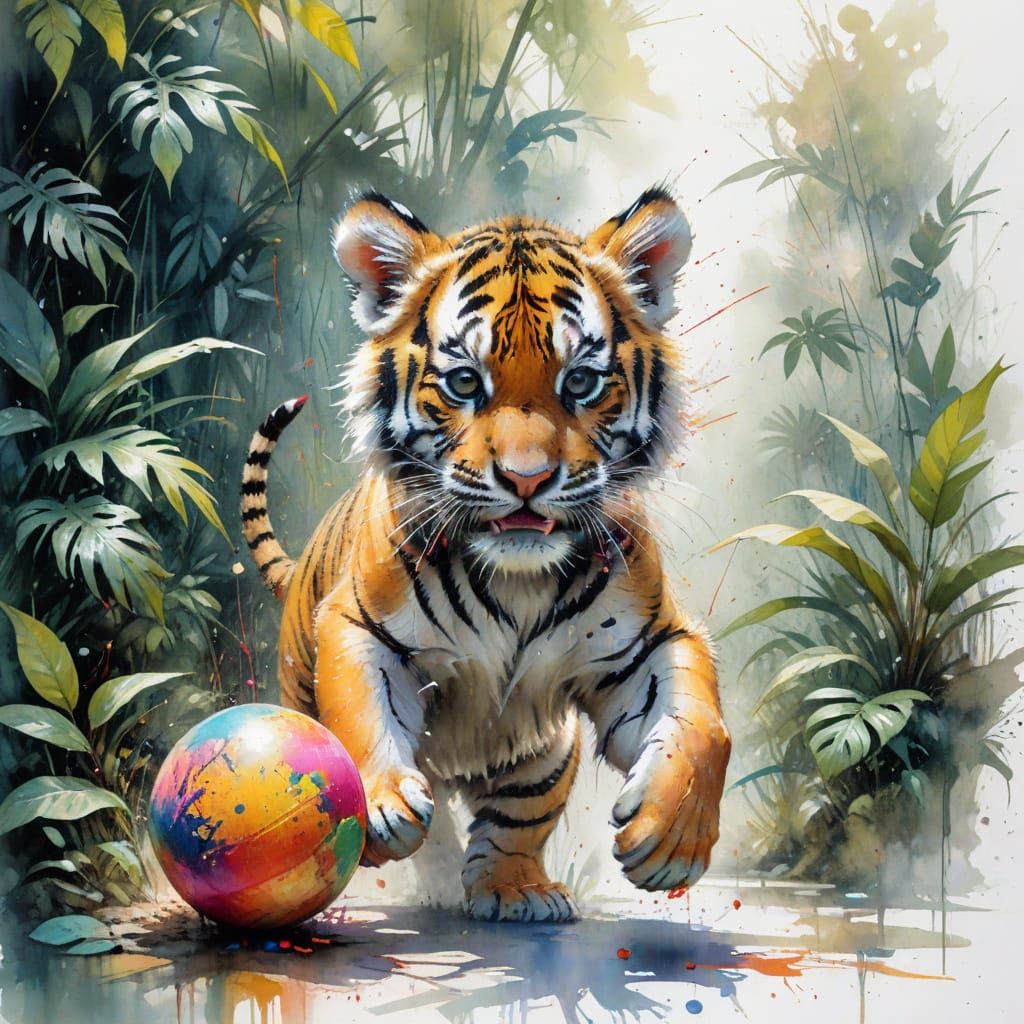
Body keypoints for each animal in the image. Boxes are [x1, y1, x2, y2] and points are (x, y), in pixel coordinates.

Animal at [240, 187, 731, 922]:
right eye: (466, 382)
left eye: (580, 382)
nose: (527, 480)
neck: (518, 582)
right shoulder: (360, 625)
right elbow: (361, 714)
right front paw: (381, 806)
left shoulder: (648, 642)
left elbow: (702, 725)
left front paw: (672, 839)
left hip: (545, 751)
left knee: (516, 819)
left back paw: (514, 889)